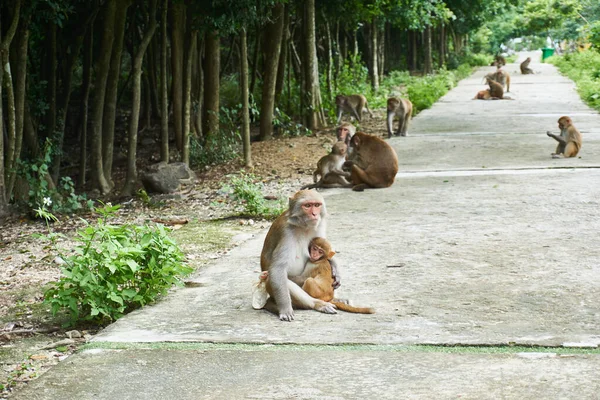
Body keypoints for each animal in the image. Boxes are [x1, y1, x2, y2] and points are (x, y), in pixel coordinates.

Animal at [260, 189, 340, 320]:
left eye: (316, 205)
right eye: (307, 206)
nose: (314, 214)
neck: (303, 227)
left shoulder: (319, 225)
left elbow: (327, 252)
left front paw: (336, 269)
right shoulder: (286, 232)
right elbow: (277, 269)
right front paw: (286, 309)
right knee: (279, 279)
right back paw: (317, 304)